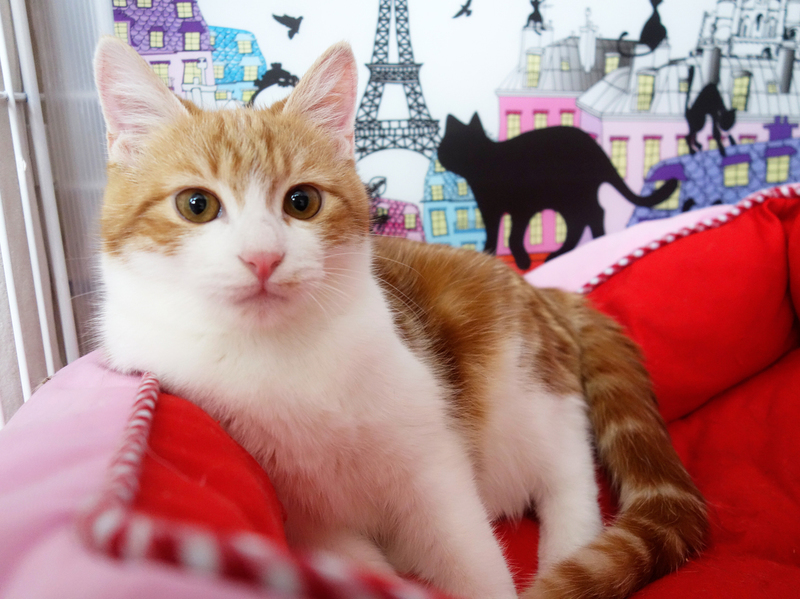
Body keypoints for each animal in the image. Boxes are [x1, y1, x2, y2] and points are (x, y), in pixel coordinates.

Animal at [437, 114, 680, 270]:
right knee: (581, 222)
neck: (484, 167)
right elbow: (491, 234)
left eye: (467, 145)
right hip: (570, 200)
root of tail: (598, 150)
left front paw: (522, 261)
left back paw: (588, 245)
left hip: (573, 195)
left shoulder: (522, 208)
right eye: (454, 144)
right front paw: (487, 255)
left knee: (593, 215)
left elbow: (513, 235)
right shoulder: (489, 210)